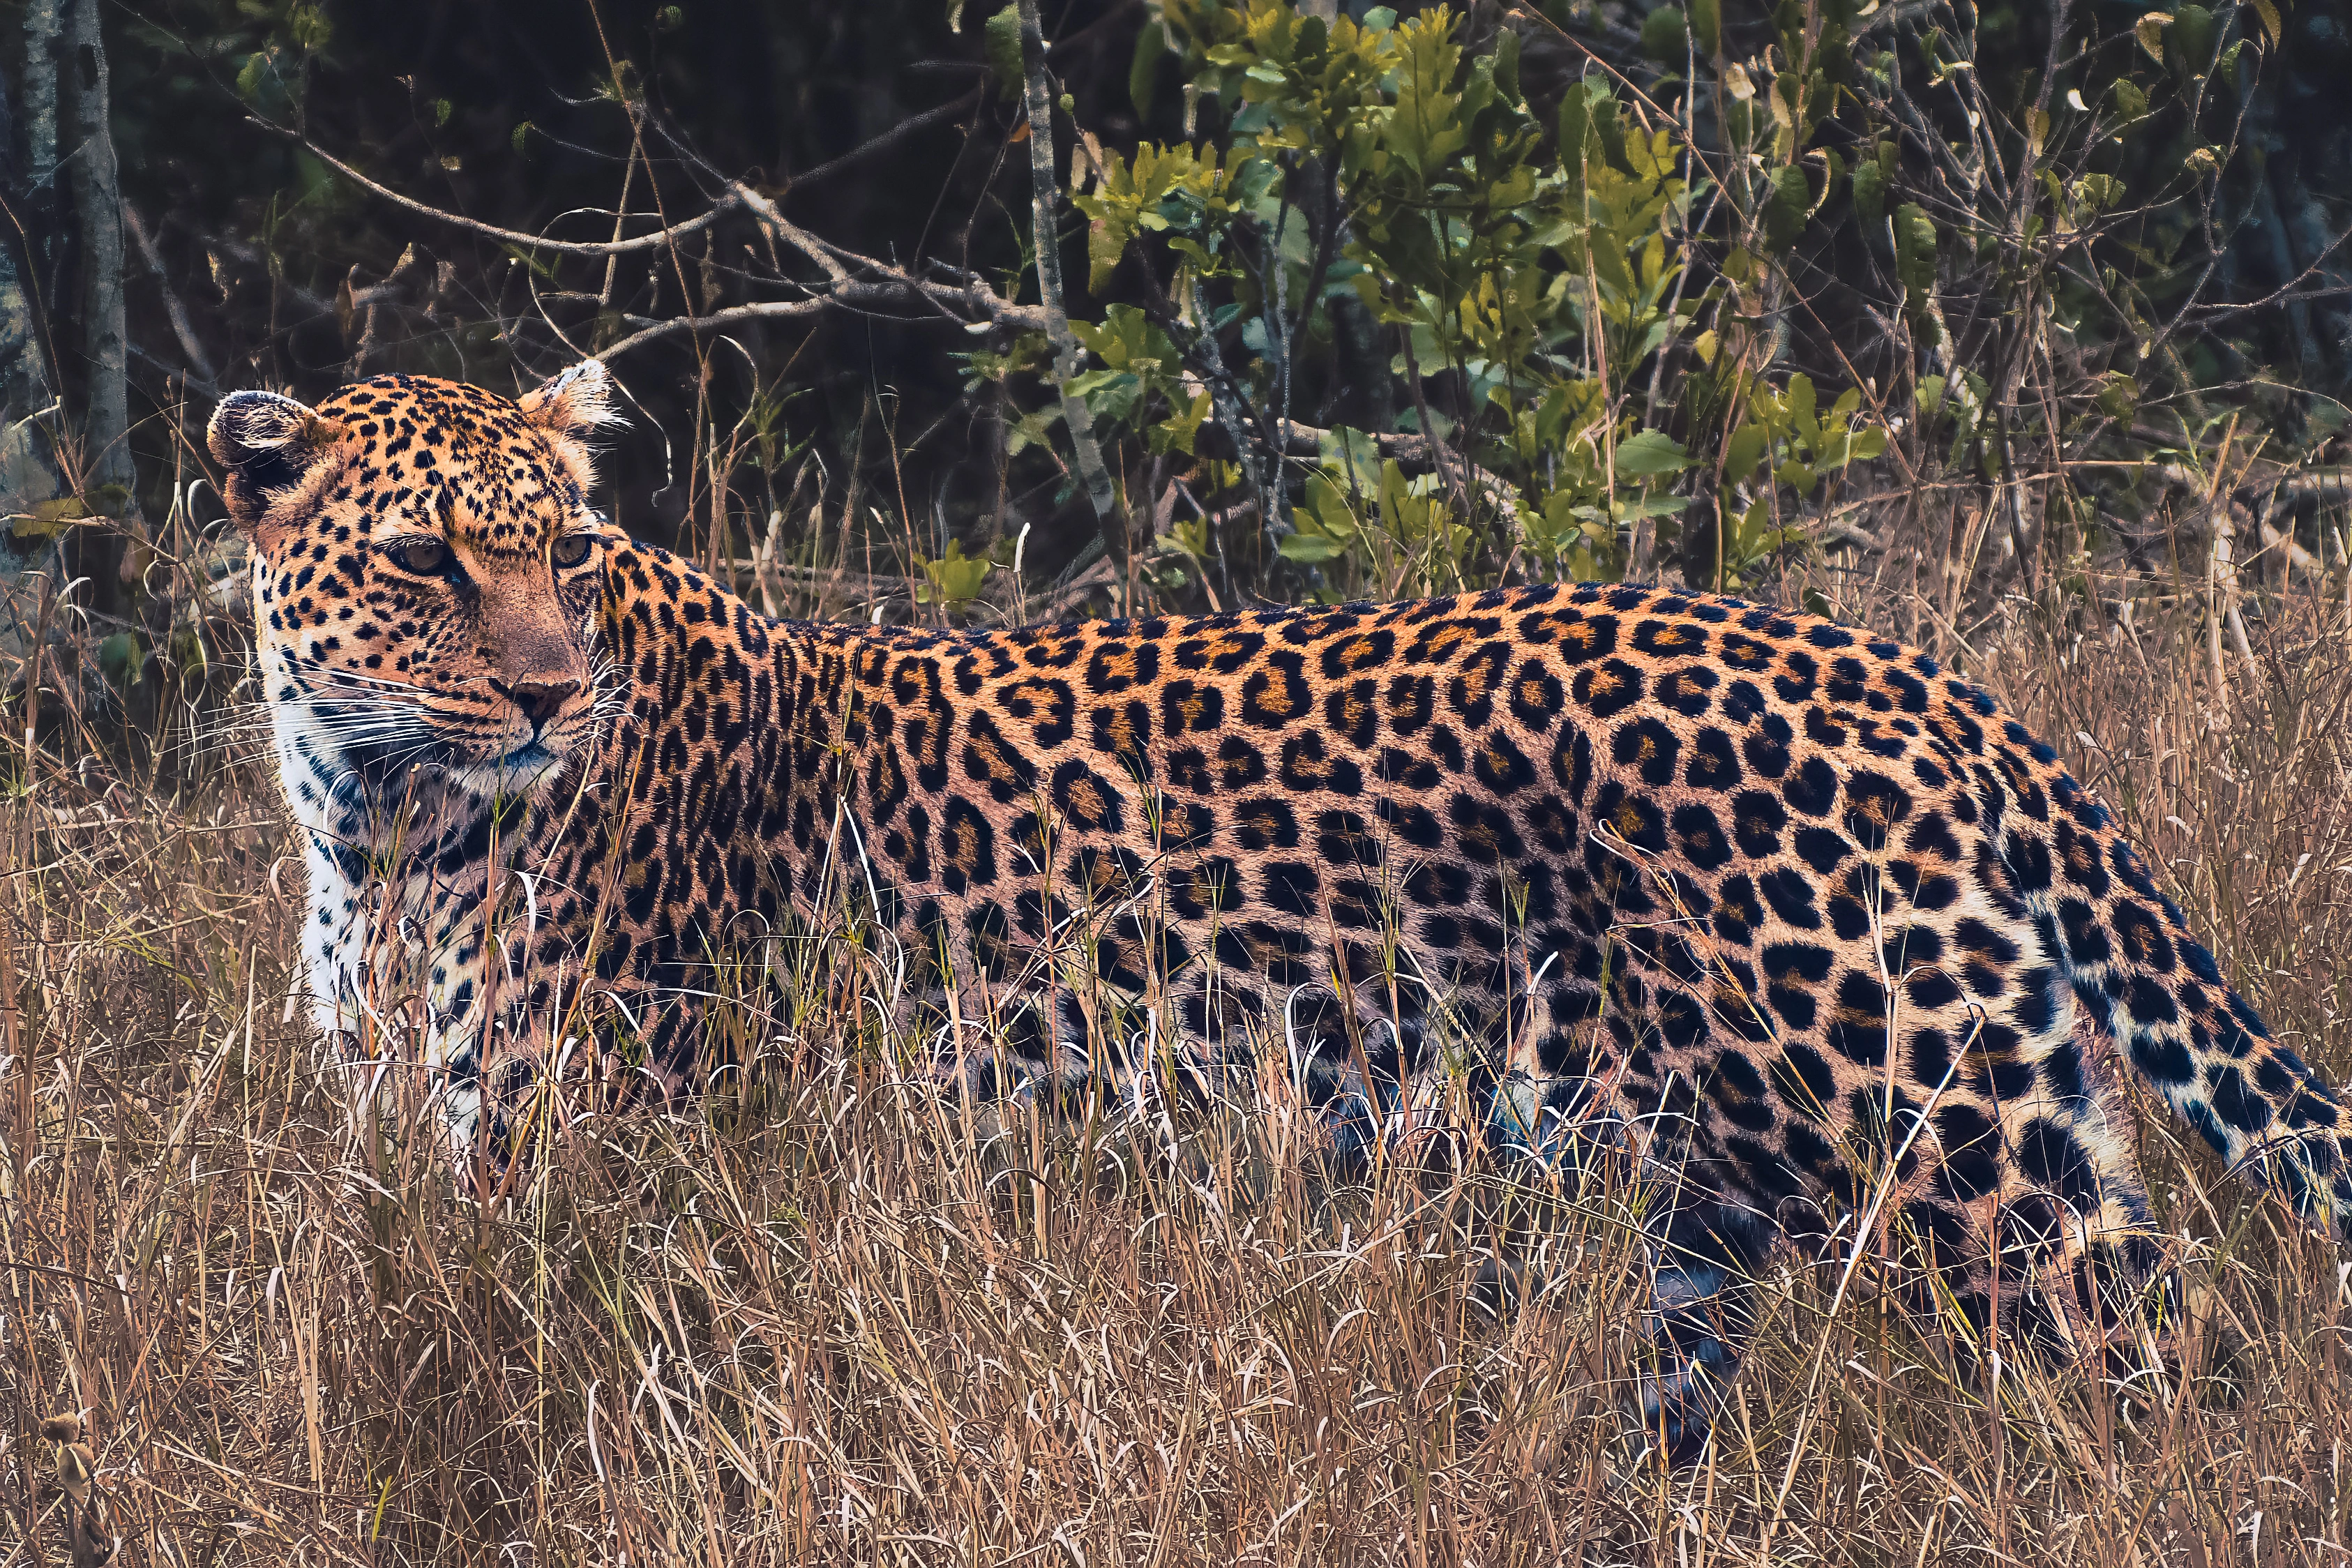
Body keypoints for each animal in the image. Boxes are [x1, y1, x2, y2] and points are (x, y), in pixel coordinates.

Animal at [211, 363, 2352, 1463]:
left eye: (566, 557)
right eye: (428, 561)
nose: (551, 695)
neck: (375, 832)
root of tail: (1899, 668)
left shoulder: (589, 1173)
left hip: (1941, 1117)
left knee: (2155, 1362)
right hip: (1711, 1199)